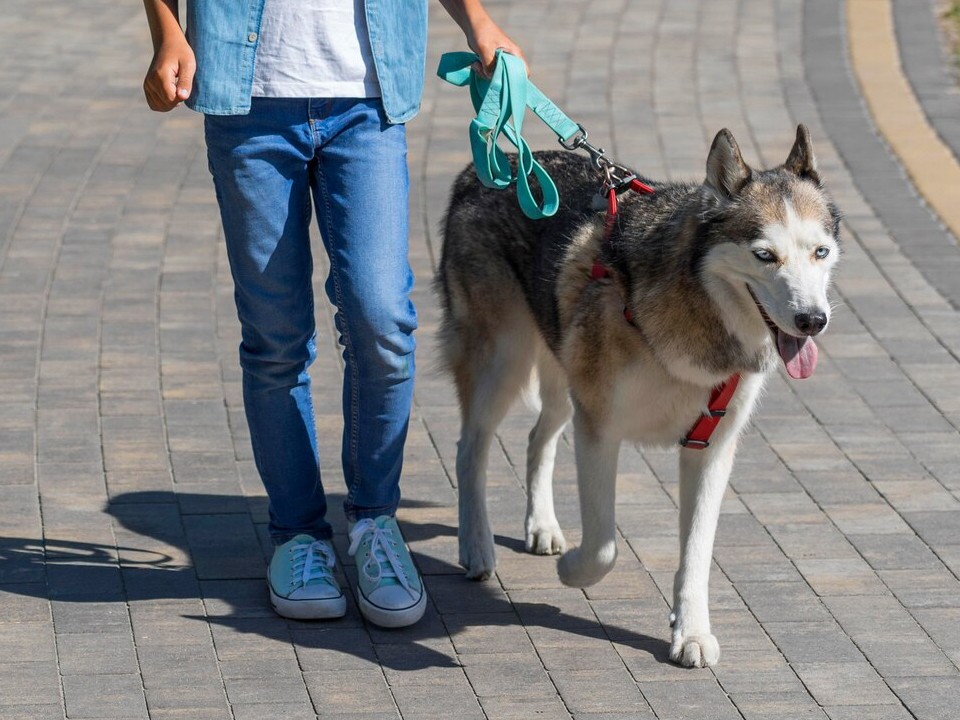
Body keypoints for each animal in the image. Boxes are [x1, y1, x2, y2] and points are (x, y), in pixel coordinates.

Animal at [436, 125, 840, 668]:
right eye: (764, 255)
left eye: (820, 252)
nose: (812, 321)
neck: (700, 312)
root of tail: (487, 167)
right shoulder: (598, 429)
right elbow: (604, 546)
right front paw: (572, 572)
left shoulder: (711, 448)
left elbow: (697, 554)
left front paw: (691, 633)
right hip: (502, 364)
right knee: (469, 449)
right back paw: (477, 548)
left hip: (561, 378)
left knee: (537, 438)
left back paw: (541, 527)